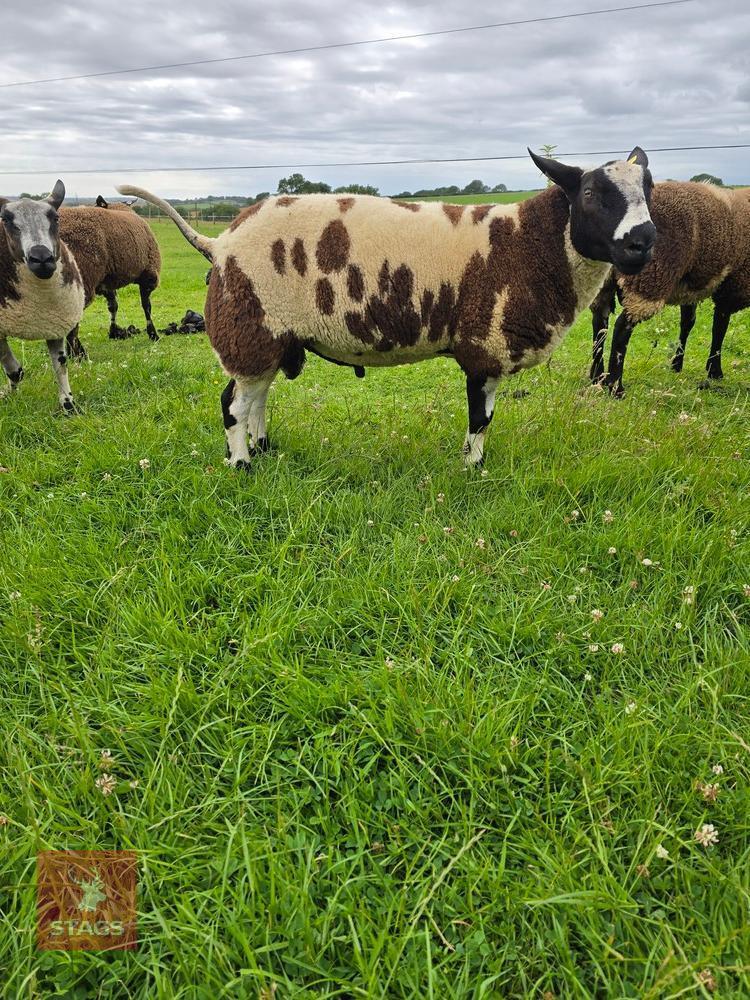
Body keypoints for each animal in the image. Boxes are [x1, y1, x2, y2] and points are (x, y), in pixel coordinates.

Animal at [0, 181, 85, 411]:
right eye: (5, 219)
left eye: (55, 217)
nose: (42, 259)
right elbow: (12, 367)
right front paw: (10, 390)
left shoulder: (54, 323)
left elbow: (61, 365)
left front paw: (68, 404)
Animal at [59, 195, 161, 359]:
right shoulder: (149, 276)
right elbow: (147, 306)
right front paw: (153, 334)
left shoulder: (106, 283)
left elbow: (113, 306)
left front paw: (113, 332)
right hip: (82, 279)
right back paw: (77, 353)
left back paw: (73, 351)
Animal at [119, 146, 655, 469]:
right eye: (590, 193)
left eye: (649, 190)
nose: (644, 241)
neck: (527, 244)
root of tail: (220, 241)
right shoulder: (485, 345)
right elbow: (481, 418)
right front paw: (473, 469)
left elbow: (481, 418)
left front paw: (470, 461)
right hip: (250, 330)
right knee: (233, 405)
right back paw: (243, 466)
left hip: (268, 337)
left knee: (256, 401)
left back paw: (264, 449)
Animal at [589, 181, 750, 394]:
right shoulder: (733, 287)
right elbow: (719, 328)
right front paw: (714, 371)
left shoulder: (689, 287)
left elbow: (688, 323)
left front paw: (677, 364)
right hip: (652, 276)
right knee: (622, 327)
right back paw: (615, 387)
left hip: (604, 279)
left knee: (600, 323)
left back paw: (596, 377)